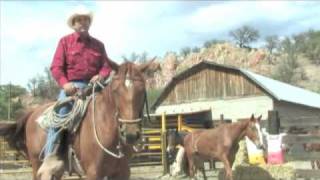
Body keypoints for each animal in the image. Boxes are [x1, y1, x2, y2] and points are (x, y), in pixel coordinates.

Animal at [0, 60, 156, 180]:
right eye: (116, 91)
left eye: (142, 90)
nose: (130, 134)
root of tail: (32, 112)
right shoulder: (93, 173)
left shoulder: (122, 172)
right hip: (36, 163)